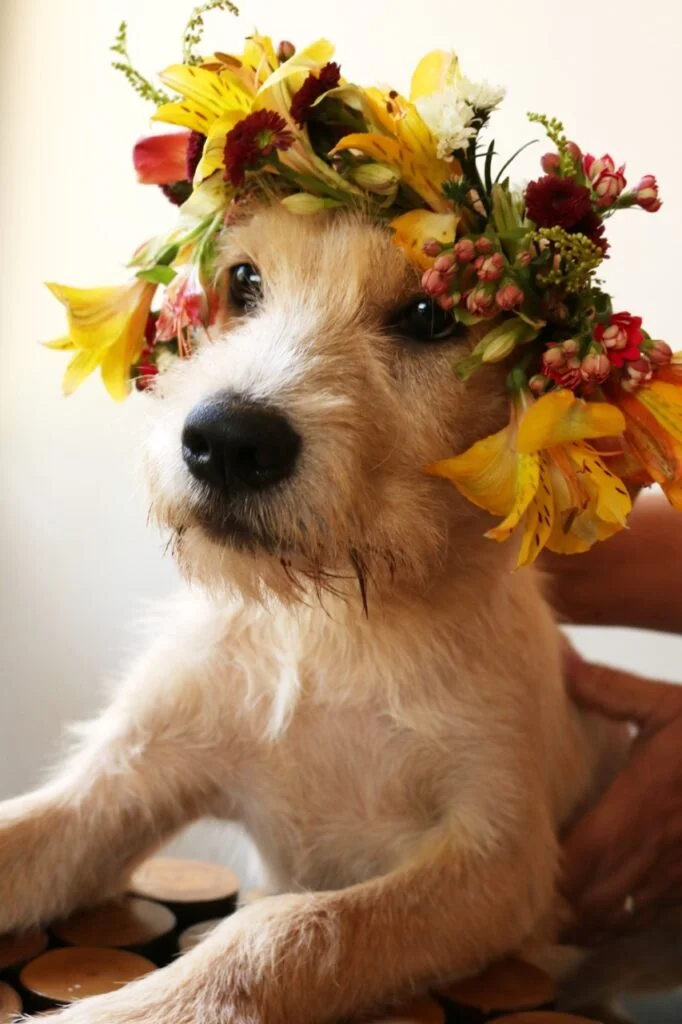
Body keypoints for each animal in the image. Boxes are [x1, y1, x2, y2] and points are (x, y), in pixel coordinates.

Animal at [0, 205, 643, 1015]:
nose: (226, 440)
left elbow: (293, 929)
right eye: (244, 280)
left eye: (430, 315)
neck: (328, 623)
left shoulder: (498, 863)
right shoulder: (119, 783)